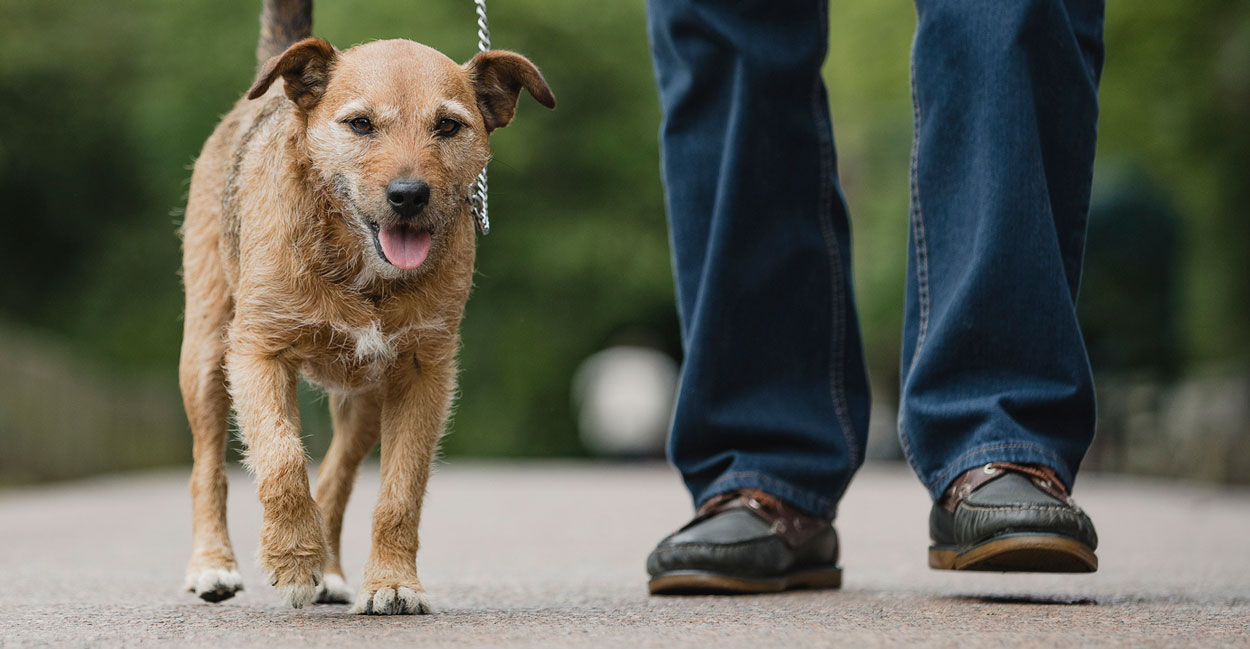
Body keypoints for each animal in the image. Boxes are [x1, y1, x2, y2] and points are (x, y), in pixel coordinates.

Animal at [176, 0, 552, 615]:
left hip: (366, 401)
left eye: (448, 125)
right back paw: (214, 566)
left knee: (336, 476)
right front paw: (291, 558)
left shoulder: (423, 375)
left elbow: (400, 491)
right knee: (208, 466)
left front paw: (393, 582)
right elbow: (280, 458)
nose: (409, 194)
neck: (361, 271)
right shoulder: (257, 354)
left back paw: (329, 571)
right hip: (207, 355)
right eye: (359, 124)